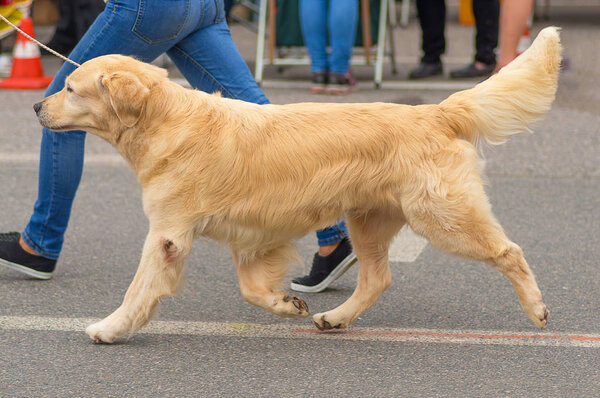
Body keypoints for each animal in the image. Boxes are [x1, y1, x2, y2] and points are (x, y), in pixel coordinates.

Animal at [35, 27, 564, 342]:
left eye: (70, 88)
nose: (37, 106)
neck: (165, 121)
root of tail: (435, 110)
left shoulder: (167, 234)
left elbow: (139, 288)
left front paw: (110, 328)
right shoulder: (251, 236)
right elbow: (251, 288)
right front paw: (284, 303)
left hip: (442, 216)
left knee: (509, 251)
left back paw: (537, 309)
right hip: (367, 219)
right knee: (377, 278)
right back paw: (335, 317)